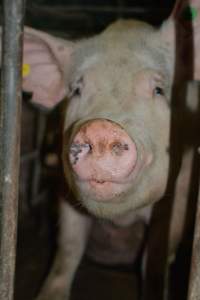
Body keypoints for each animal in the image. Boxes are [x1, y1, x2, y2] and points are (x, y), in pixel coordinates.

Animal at [6, 0, 200, 298]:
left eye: (158, 89)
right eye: (77, 89)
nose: (99, 129)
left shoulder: (184, 183)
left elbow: (155, 257)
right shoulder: (65, 186)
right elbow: (69, 247)